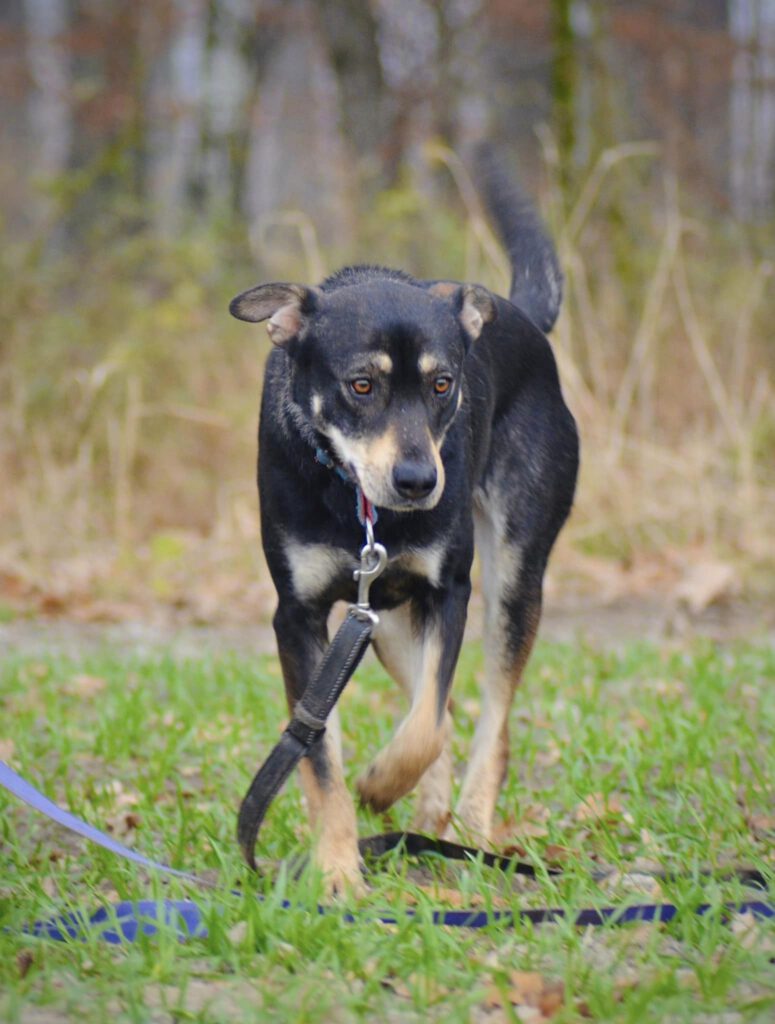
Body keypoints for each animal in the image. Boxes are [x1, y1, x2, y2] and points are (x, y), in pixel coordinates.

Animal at [226, 151, 577, 897]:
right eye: (361, 385)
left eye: (444, 384)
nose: (419, 483)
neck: (357, 503)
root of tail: (525, 321)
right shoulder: (299, 615)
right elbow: (321, 757)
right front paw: (336, 870)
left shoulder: (449, 589)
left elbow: (426, 723)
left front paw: (382, 785)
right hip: (382, 619)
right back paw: (431, 814)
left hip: (511, 579)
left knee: (485, 712)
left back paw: (468, 821)